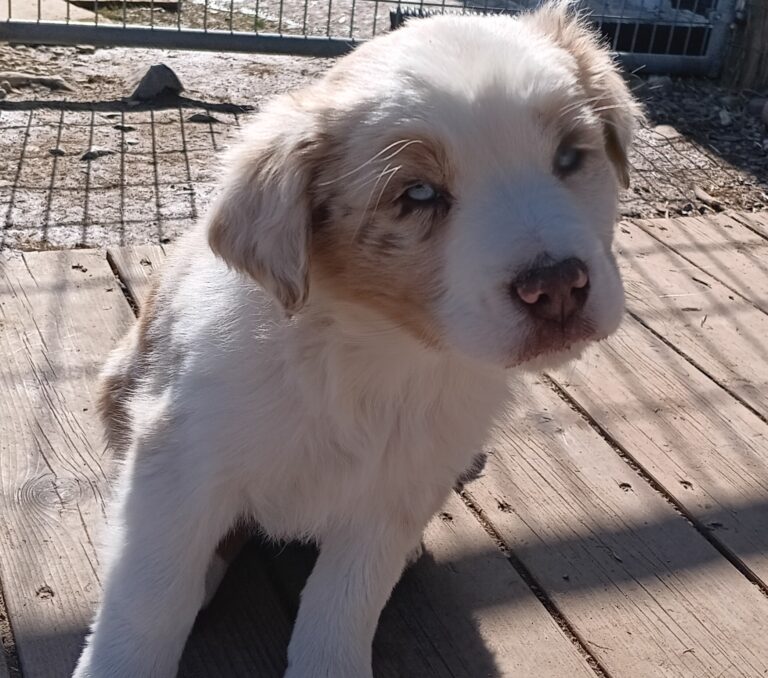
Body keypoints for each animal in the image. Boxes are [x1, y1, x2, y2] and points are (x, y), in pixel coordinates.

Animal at [73, 4, 637, 676]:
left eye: (571, 157)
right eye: (418, 194)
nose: (556, 287)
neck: (377, 354)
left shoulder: (395, 493)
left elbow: (344, 602)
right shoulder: (179, 460)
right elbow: (149, 598)